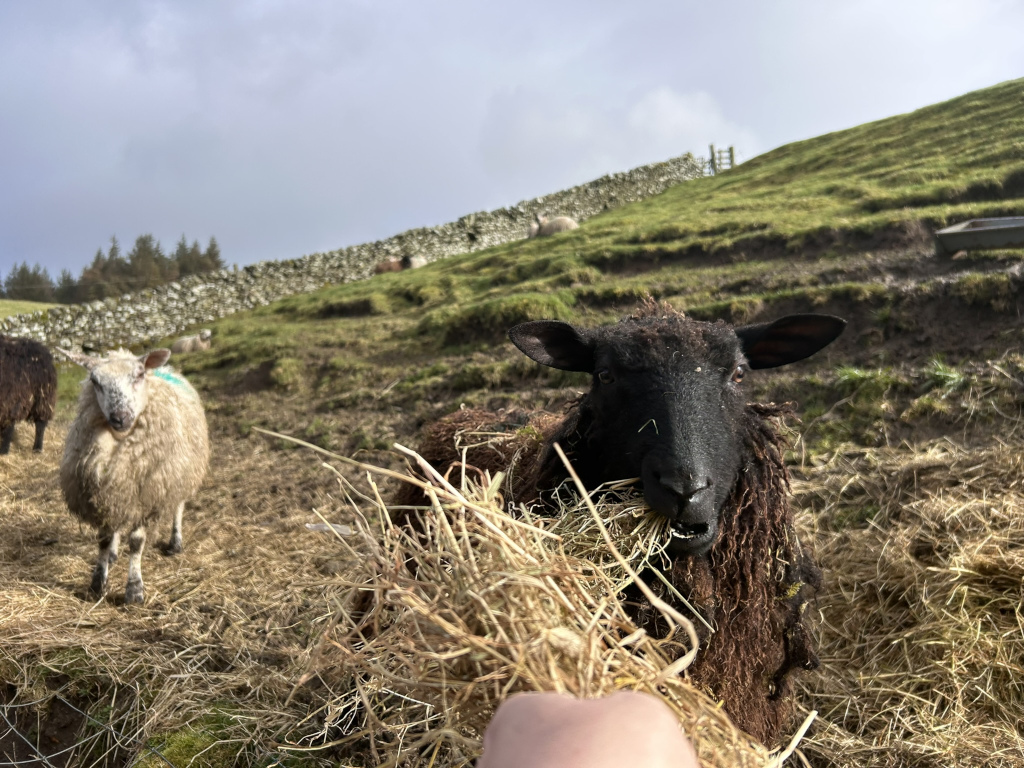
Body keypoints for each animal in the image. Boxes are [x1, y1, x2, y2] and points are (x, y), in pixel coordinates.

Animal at [59, 347, 210, 604]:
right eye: (94, 381)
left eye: (139, 375)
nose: (119, 417)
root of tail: (165, 368)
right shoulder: (103, 493)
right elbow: (103, 539)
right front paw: (97, 582)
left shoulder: (146, 494)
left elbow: (137, 541)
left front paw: (134, 589)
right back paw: (113, 552)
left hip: (180, 471)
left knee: (178, 505)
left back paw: (175, 542)